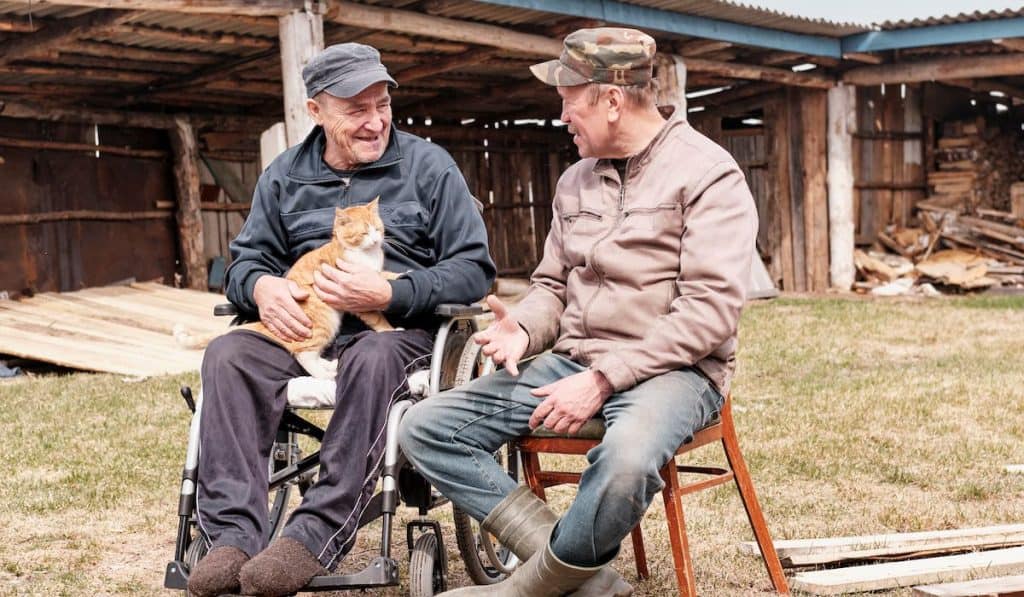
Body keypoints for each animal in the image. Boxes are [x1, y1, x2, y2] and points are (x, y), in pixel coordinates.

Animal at [174, 198, 397, 380]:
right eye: (364, 232)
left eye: (378, 229)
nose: (376, 240)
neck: (367, 255)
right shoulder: (357, 299)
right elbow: (378, 318)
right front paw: (391, 329)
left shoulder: (373, 275)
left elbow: (383, 276)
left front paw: (397, 276)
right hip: (324, 322)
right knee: (303, 354)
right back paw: (324, 374)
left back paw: (328, 366)